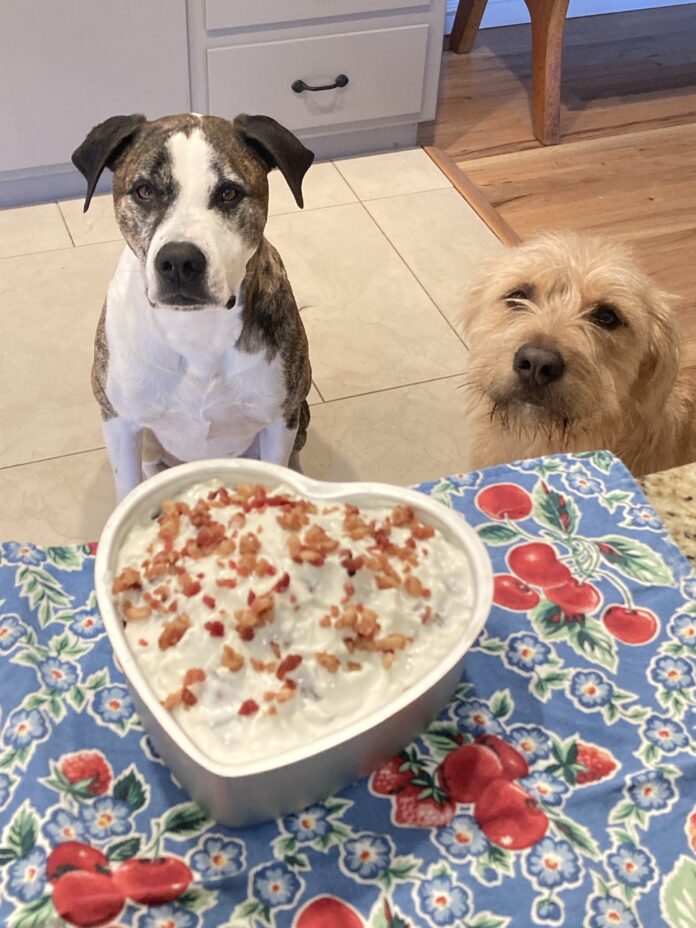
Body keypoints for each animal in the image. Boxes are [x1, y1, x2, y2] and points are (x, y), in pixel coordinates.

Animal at [72, 113, 314, 504]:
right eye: (145, 190)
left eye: (229, 193)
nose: (179, 262)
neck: (197, 330)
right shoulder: (118, 419)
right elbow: (127, 488)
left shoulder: (280, 419)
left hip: (300, 416)